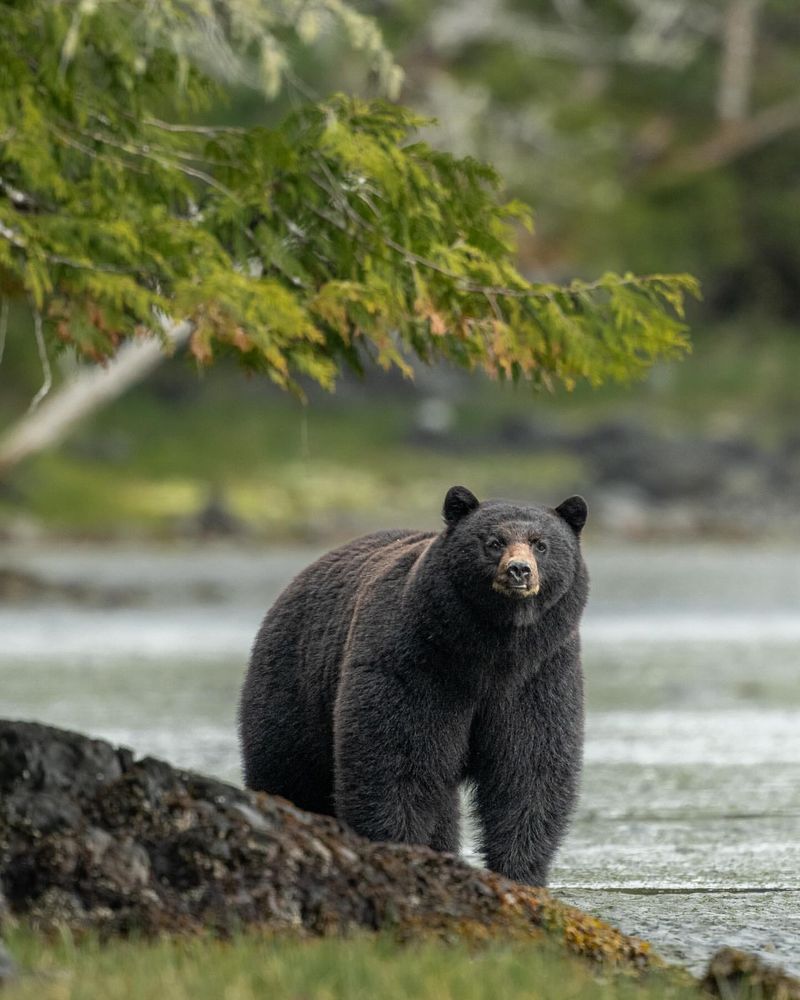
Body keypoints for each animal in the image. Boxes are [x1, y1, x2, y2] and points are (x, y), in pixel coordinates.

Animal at [238, 484, 588, 884]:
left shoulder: (539, 676)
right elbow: (397, 759)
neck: (490, 652)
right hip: (295, 684)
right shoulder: (417, 663)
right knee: (289, 773)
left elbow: (529, 769)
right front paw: (400, 848)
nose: (519, 570)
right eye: (494, 541)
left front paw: (519, 872)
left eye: (541, 544)